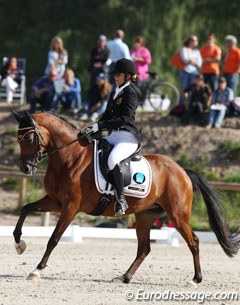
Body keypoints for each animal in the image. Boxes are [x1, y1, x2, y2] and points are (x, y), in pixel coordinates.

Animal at [12, 111, 239, 284]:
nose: (25, 169)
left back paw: (195, 279)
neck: (70, 158)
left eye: (29, 139)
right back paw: (124, 277)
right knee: (144, 249)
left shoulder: (70, 207)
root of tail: (182, 170)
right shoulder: (55, 202)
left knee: (194, 241)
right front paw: (19, 244)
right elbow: (25, 208)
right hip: (146, 216)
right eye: (18, 140)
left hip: (177, 214)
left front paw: (37, 270)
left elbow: (54, 238)